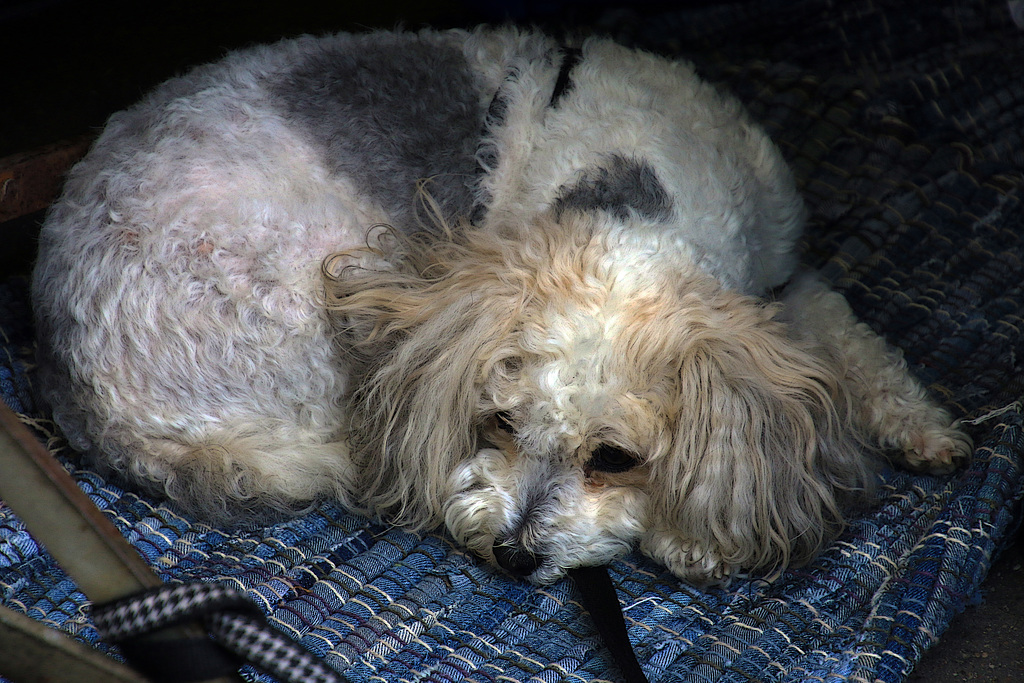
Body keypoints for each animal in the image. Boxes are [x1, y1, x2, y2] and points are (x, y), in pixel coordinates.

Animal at [32, 25, 970, 581]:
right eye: (502, 422)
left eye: (614, 457)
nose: (512, 552)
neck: (640, 181)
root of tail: (79, 384)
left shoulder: (777, 276)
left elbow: (849, 331)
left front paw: (924, 424)